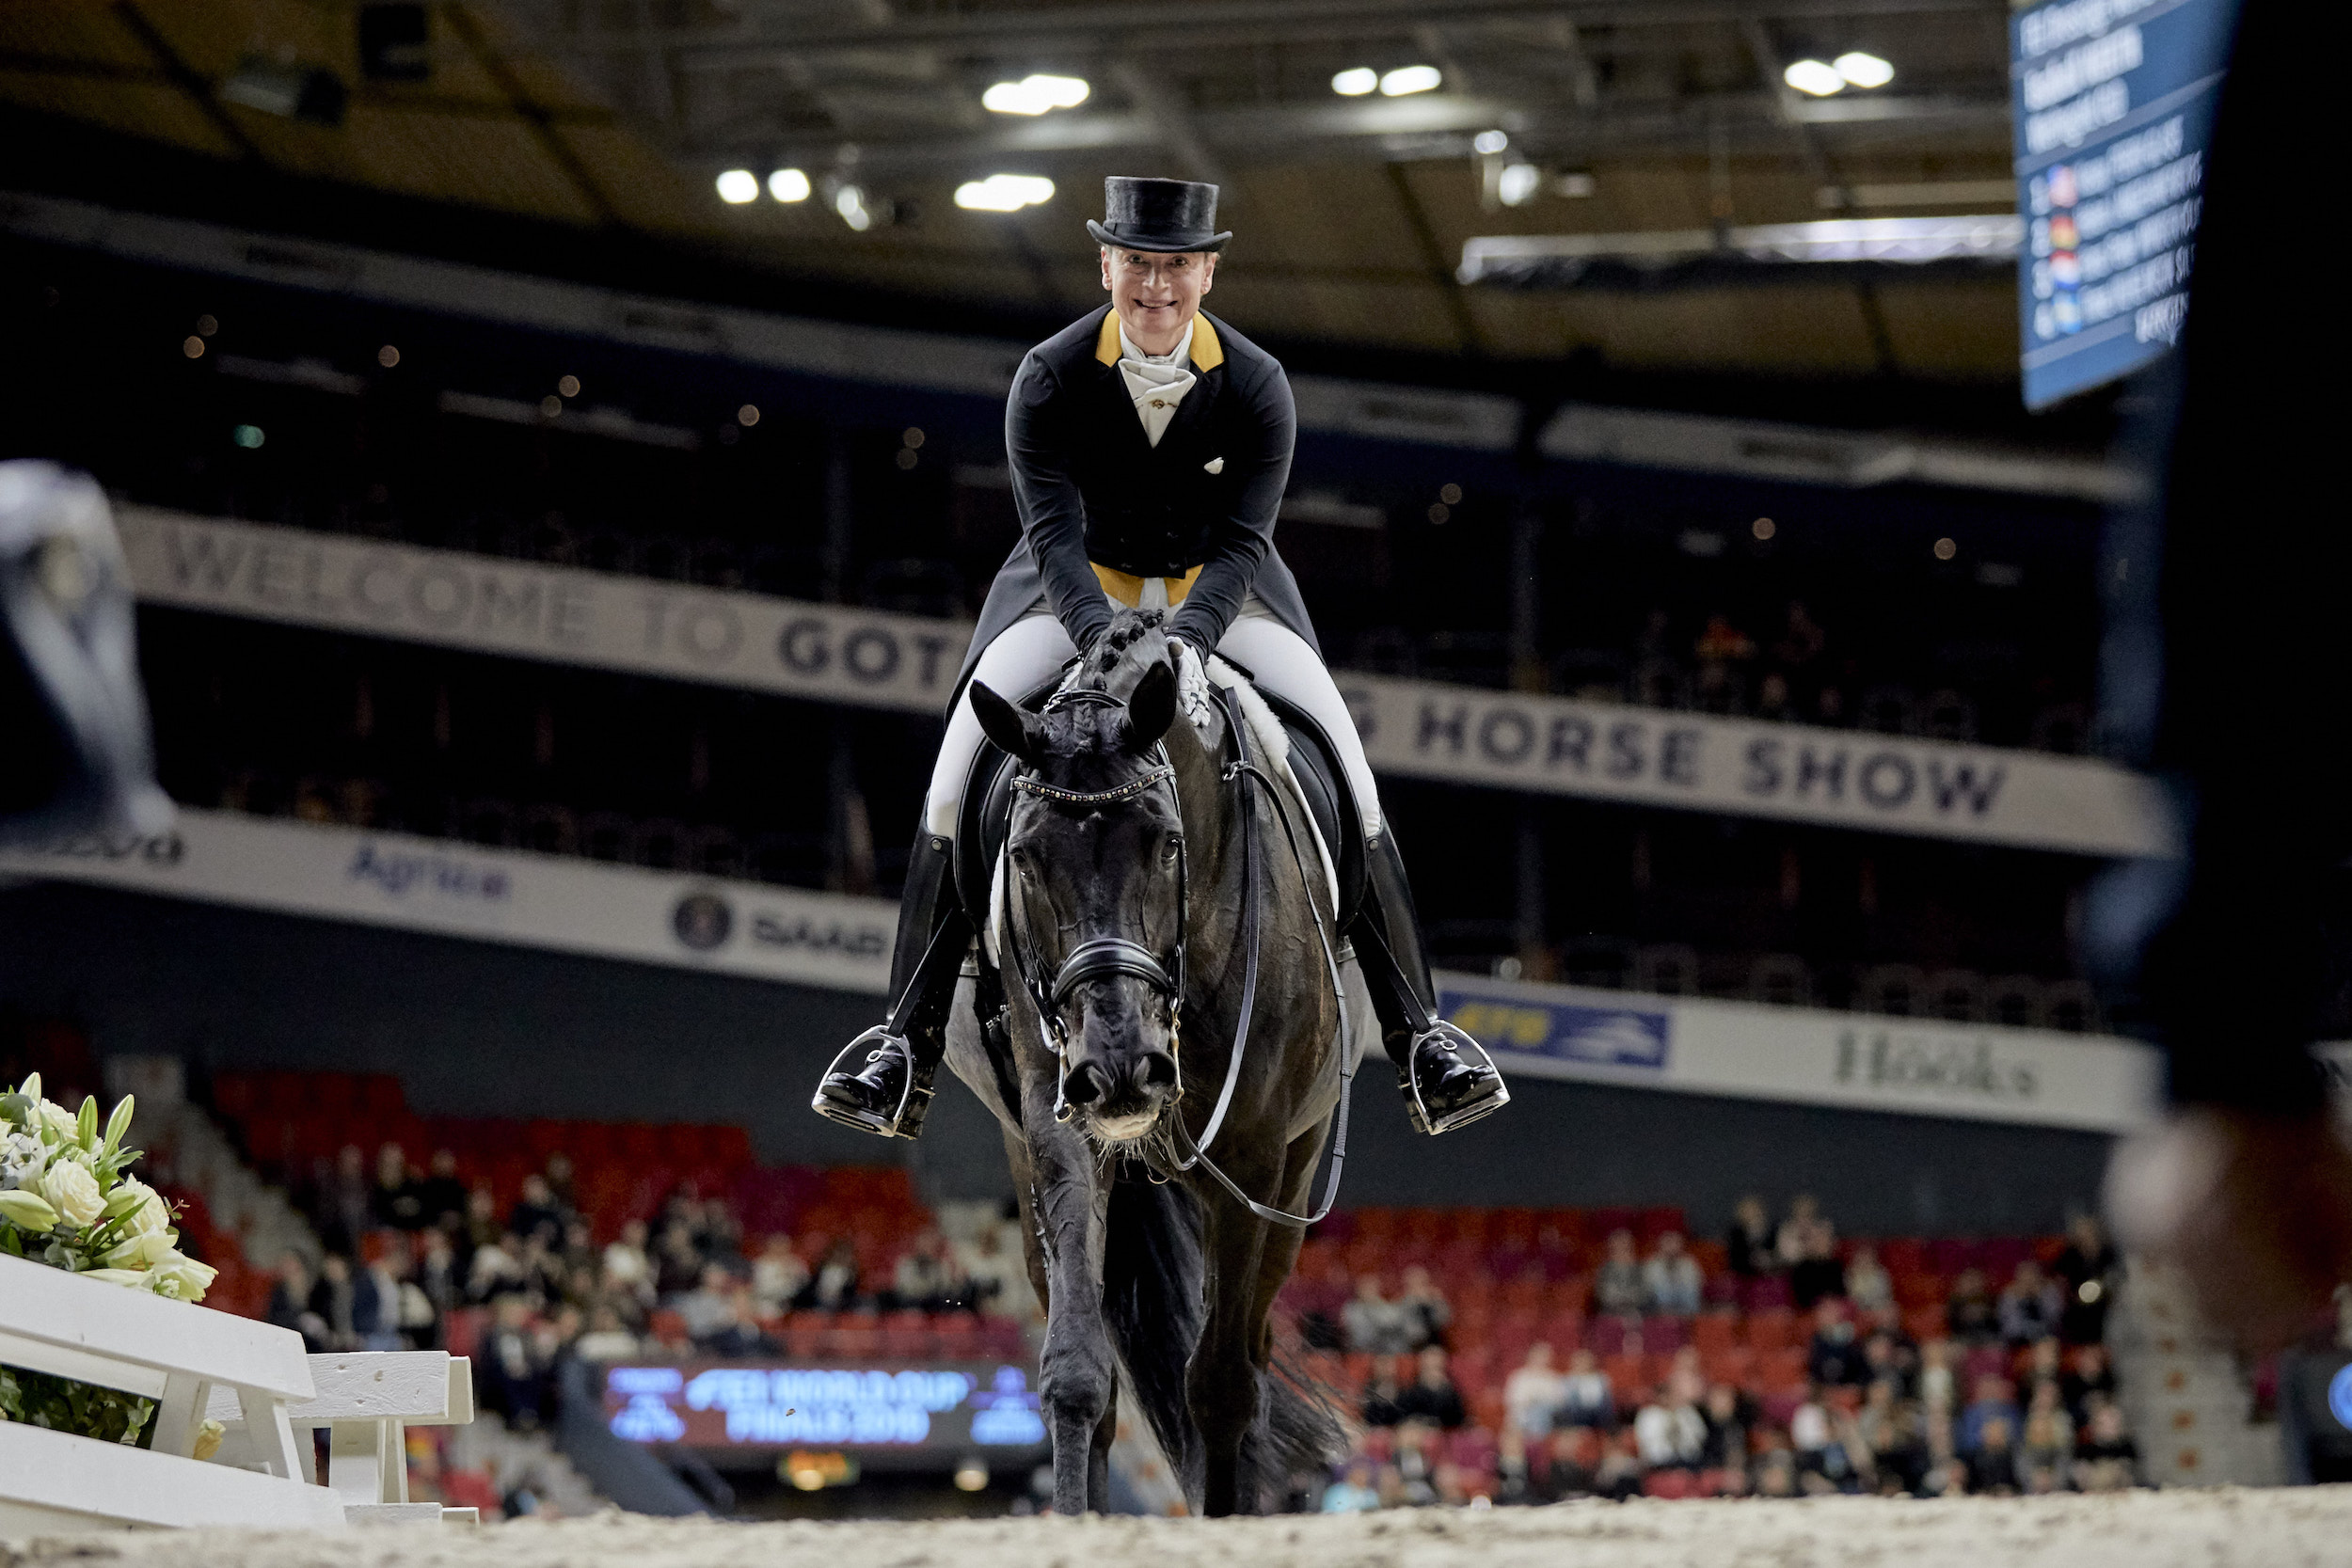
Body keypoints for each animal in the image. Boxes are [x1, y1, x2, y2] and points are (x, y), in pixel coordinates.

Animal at [946, 606, 1355, 1513]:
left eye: (1168, 844)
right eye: (1024, 856)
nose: (1122, 1067)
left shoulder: (1253, 1156)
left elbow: (1222, 1386)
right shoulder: (1060, 1127)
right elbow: (1075, 1372)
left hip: (1291, 1182)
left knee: (1245, 1355)